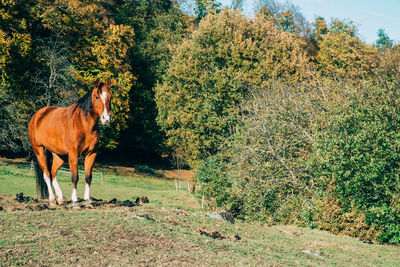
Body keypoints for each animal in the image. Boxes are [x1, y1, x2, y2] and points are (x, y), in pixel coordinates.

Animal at [28, 79, 111, 209]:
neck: (83, 124)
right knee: (46, 175)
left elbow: (88, 177)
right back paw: (52, 200)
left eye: (110, 97)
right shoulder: (73, 154)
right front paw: (75, 202)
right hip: (39, 151)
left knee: (53, 172)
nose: (106, 119)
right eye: (97, 97)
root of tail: (37, 116)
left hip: (59, 155)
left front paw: (88, 201)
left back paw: (60, 198)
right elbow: (74, 177)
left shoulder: (92, 153)